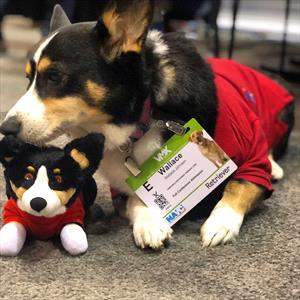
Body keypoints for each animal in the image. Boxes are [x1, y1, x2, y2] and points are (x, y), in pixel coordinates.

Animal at [0, 0, 294, 248]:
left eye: (54, 76)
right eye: (28, 78)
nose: (6, 128)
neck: (144, 114)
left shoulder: (252, 165)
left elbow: (239, 185)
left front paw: (220, 224)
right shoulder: (120, 190)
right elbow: (136, 198)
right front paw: (150, 224)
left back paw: (276, 166)